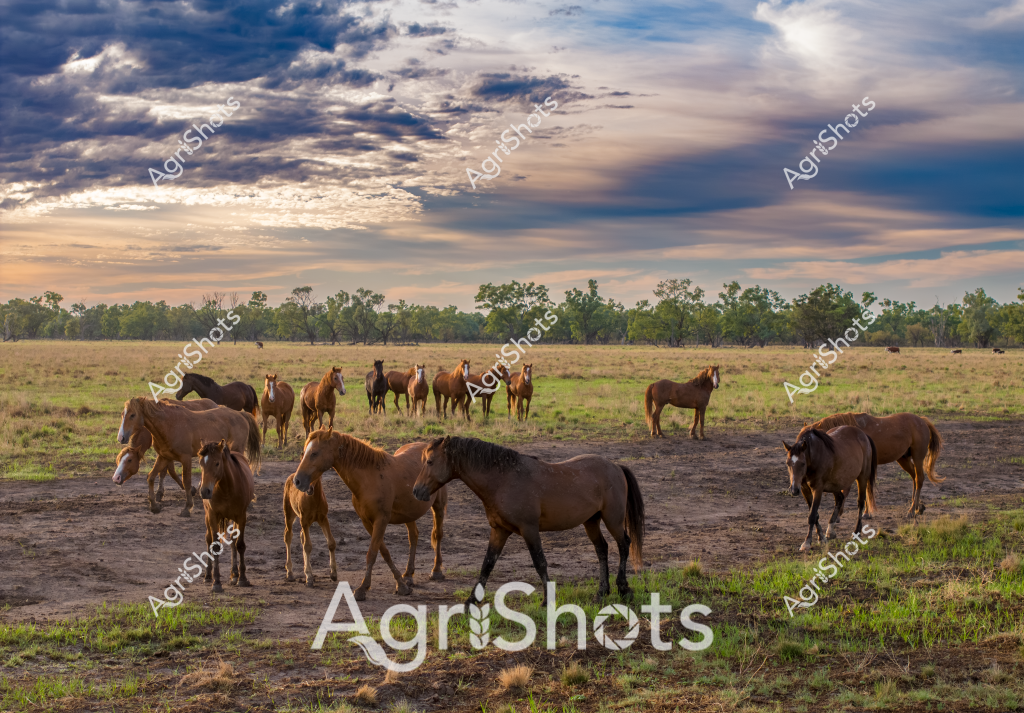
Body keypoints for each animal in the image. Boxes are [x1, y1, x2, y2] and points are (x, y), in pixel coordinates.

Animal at [118, 398, 262, 516]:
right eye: (122, 414)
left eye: (132, 415)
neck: (169, 424)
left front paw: (187, 508)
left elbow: (186, 481)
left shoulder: (185, 459)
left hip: (237, 449)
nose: (121, 437)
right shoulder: (164, 457)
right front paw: (154, 506)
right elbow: (151, 477)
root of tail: (240, 414)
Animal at [197, 440, 254, 591]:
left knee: (233, 541)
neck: (227, 488)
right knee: (209, 540)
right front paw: (216, 582)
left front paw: (242, 578)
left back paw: (234, 574)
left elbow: (239, 544)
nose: (204, 491)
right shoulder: (213, 516)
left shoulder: (241, 516)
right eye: (201, 463)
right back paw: (208, 575)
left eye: (217, 463)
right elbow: (215, 546)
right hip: (208, 517)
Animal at [293, 428, 448, 601]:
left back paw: (436, 571)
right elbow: (384, 552)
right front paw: (401, 584)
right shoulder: (367, 522)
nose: (297, 481)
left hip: (438, 506)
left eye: (314, 453)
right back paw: (408, 574)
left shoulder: (381, 520)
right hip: (409, 513)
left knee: (438, 534)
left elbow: (372, 553)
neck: (370, 479)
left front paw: (362, 589)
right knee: (413, 536)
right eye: (304, 452)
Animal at [413, 436, 645, 606]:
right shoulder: (499, 530)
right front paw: (472, 600)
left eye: (430, 462)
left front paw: (547, 600)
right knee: (602, 549)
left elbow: (539, 562)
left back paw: (623, 588)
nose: (416, 491)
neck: (503, 480)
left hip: (613, 520)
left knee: (624, 545)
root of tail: (616, 467)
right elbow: (487, 564)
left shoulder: (529, 529)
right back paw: (602, 592)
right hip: (591, 522)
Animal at [802, 412, 943, 516]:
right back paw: (918, 507)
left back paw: (912, 510)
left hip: (918, 457)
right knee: (914, 477)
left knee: (919, 479)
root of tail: (922, 421)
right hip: (903, 459)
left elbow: (857, 489)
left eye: (807, 443)